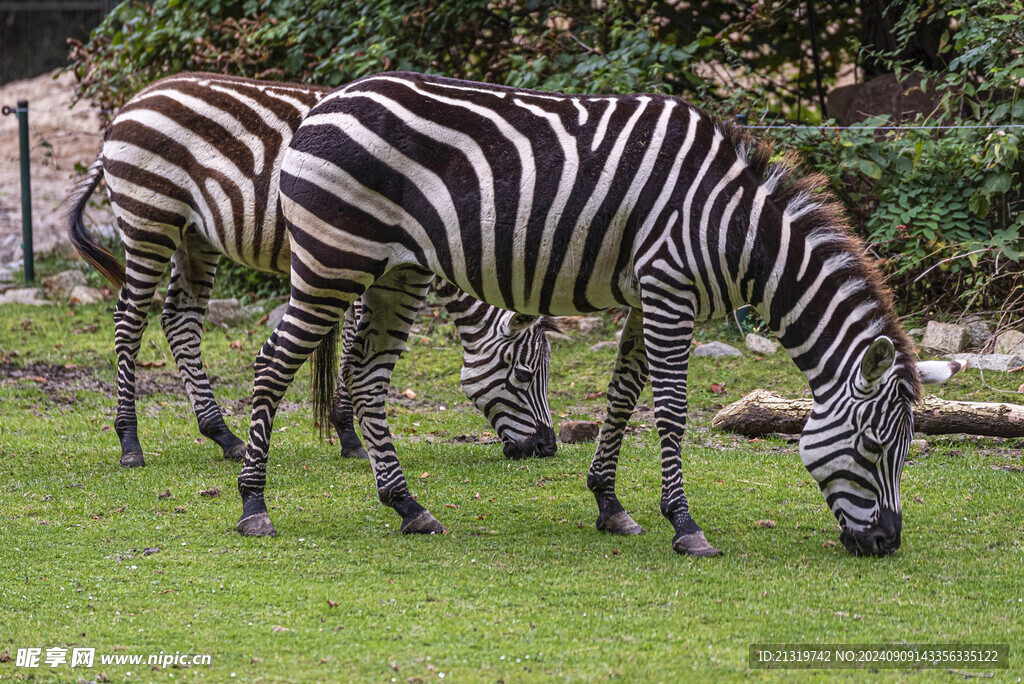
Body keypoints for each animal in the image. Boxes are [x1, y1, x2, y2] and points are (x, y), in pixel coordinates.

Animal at [68, 73, 561, 471]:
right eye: (524, 374)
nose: (548, 448)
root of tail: (132, 103)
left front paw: (346, 431)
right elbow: (351, 347)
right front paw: (350, 434)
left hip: (195, 235)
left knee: (180, 320)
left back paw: (223, 434)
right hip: (149, 220)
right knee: (129, 319)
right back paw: (130, 442)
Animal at [237, 73, 950, 557]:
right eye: (874, 447)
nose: (887, 542)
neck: (736, 227)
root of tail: (323, 104)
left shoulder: (645, 296)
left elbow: (622, 398)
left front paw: (610, 504)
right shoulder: (669, 291)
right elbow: (669, 410)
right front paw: (685, 525)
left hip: (396, 272)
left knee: (370, 378)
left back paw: (409, 506)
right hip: (333, 260)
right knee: (273, 364)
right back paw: (252, 505)